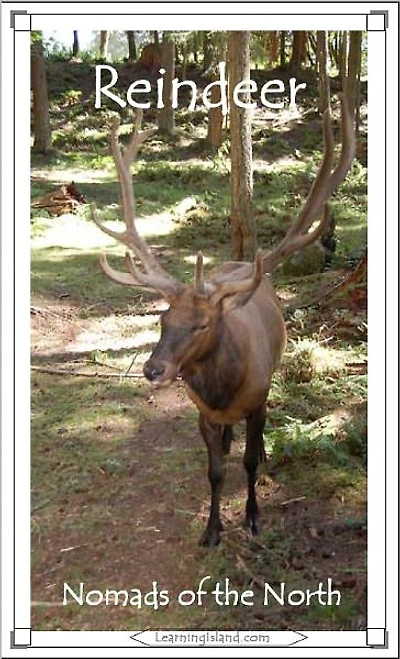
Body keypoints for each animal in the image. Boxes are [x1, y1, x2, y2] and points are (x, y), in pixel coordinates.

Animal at [91, 95, 355, 546]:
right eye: (163, 318)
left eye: (201, 324)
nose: (152, 369)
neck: (224, 390)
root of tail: (242, 263)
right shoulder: (202, 413)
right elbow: (214, 472)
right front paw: (212, 528)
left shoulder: (258, 398)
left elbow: (249, 464)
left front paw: (252, 517)